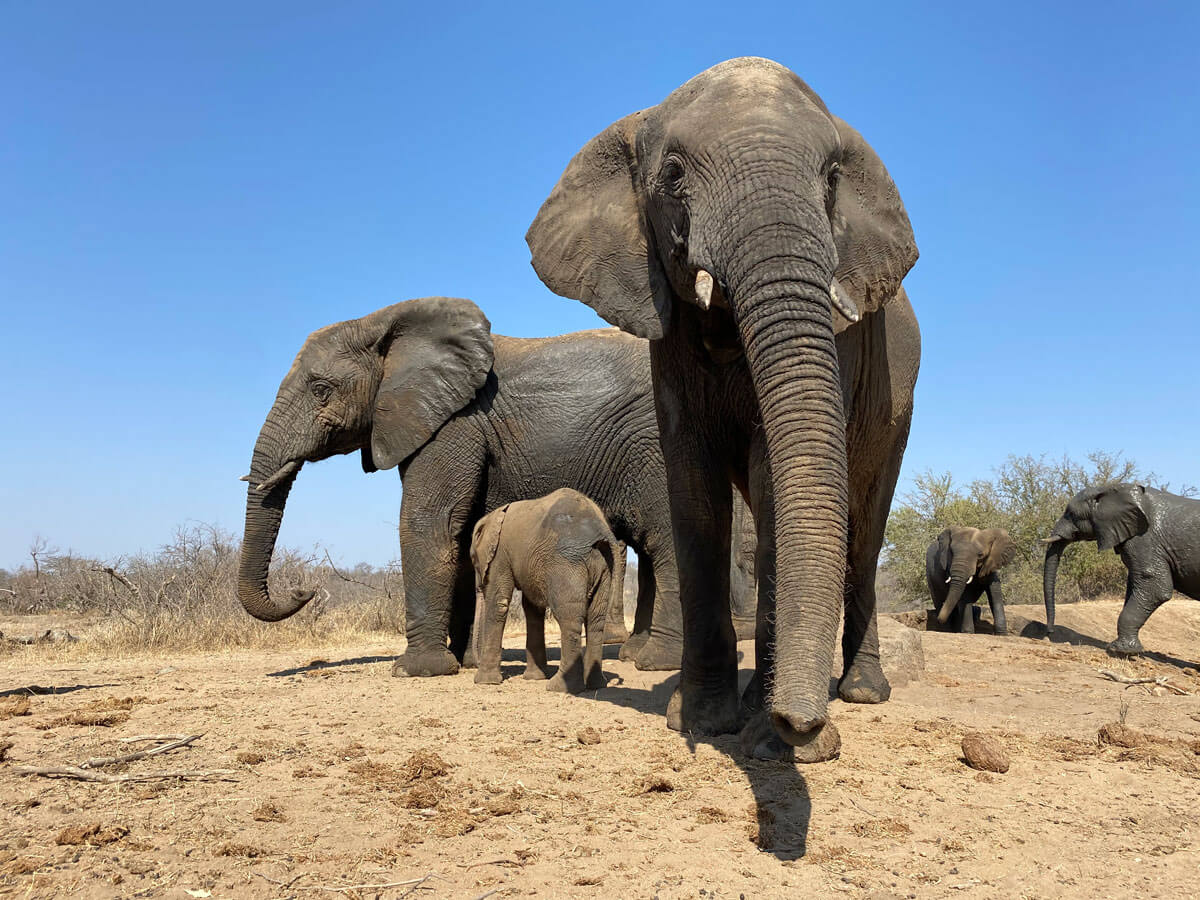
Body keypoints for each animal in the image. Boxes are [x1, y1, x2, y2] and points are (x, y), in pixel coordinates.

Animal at [470, 488, 618, 692]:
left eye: (473, 559)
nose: (473, 664)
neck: (493, 517)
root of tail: (600, 534)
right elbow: (532, 609)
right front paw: (533, 678)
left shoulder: (500, 554)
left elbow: (499, 603)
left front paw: (485, 682)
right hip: (604, 567)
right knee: (596, 619)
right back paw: (596, 685)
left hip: (566, 563)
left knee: (569, 617)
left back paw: (561, 687)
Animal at [527, 57, 920, 761]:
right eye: (674, 174)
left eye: (831, 178)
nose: (806, 728)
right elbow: (694, 491)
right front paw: (703, 721)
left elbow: (773, 482)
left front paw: (771, 739)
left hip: (898, 411)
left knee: (865, 529)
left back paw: (862, 693)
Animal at [1043, 483, 1200, 654]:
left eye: (1070, 514)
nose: (1049, 632)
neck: (1113, 488)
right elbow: (1134, 586)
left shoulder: (1144, 539)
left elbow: (1155, 587)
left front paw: (1119, 650)